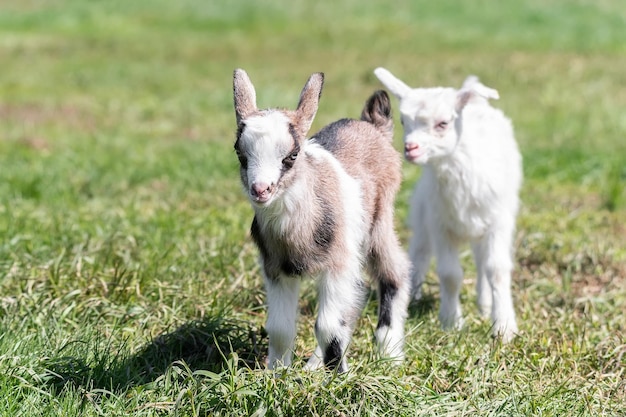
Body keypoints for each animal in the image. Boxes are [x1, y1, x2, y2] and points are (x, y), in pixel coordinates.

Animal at [372, 67, 520, 342]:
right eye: (403, 122)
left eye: (443, 123)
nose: (410, 148)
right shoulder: (440, 224)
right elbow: (450, 274)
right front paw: (451, 322)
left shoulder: (498, 222)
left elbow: (496, 269)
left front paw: (504, 327)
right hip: (423, 213)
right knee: (420, 251)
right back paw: (413, 297)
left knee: (481, 261)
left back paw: (485, 305)